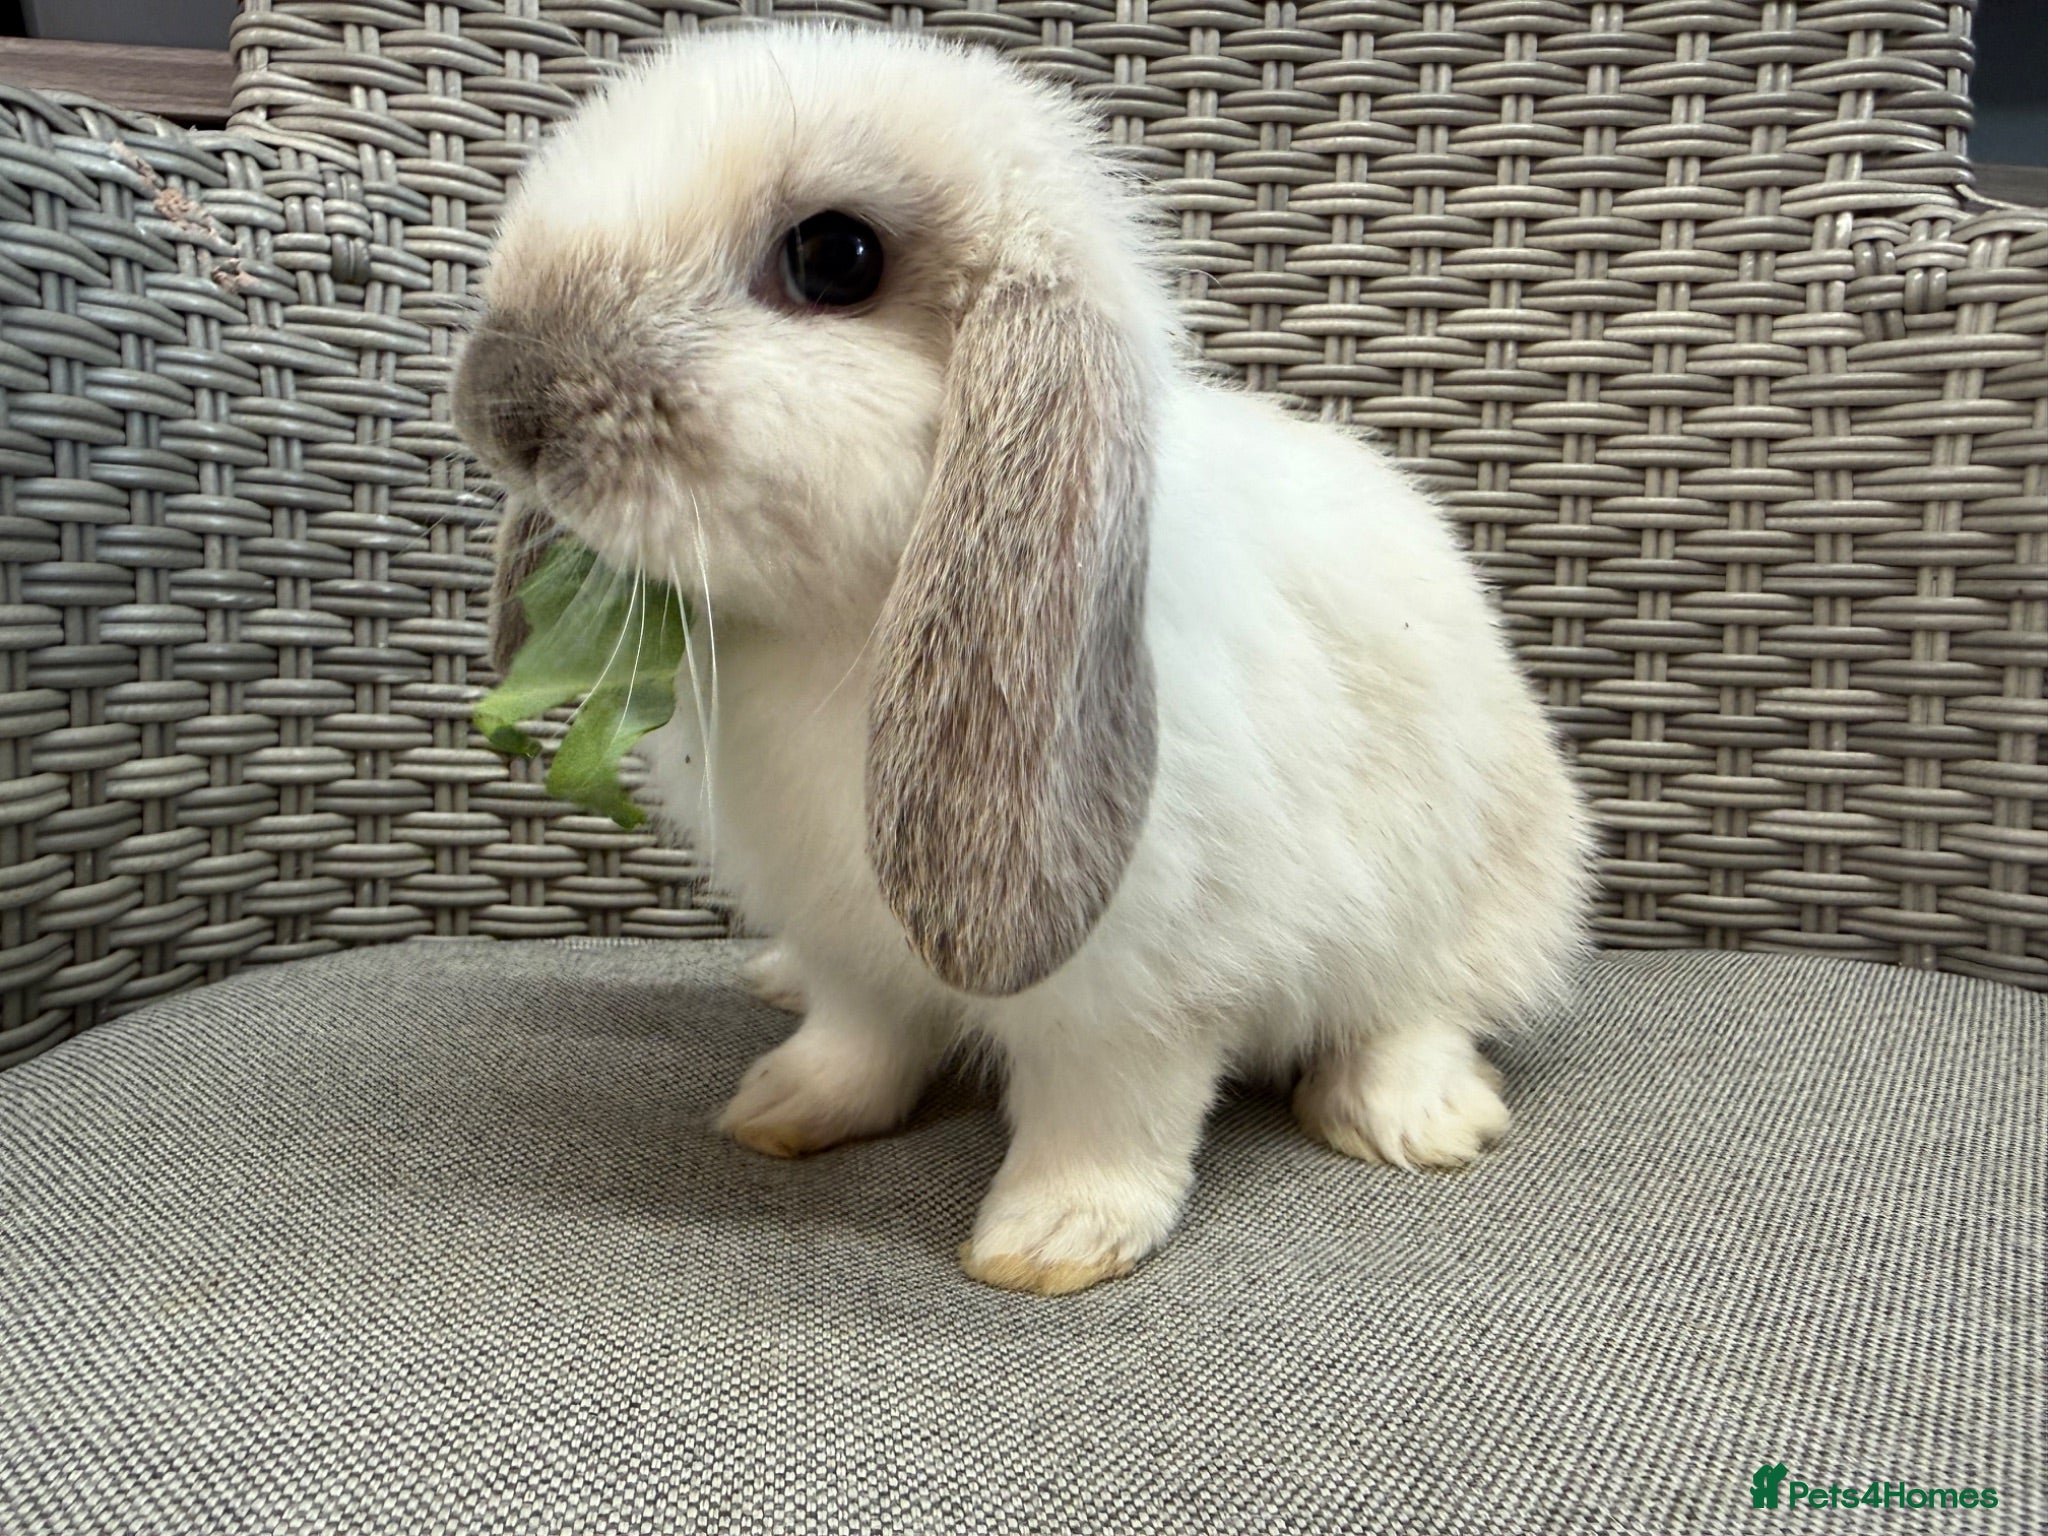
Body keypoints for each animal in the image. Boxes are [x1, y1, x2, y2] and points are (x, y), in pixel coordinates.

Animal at [453, 24, 1593, 1296]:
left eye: (834, 257)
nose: (503, 406)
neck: (840, 625)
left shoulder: (1130, 993)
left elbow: (1109, 1117)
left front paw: (1052, 1242)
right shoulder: (847, 939)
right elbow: (859, 1037)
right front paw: (782, 1109)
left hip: (1483, 893)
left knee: (1433, 1004)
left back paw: (1410, 1117)